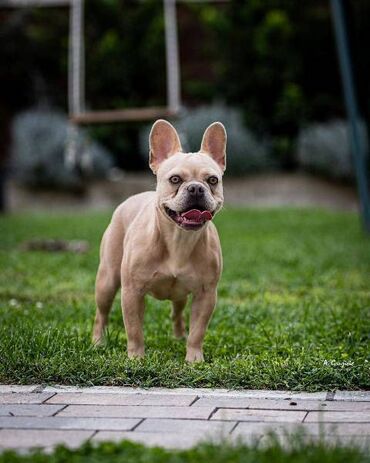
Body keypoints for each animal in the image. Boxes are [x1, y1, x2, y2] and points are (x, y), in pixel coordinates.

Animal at [92, 118, 225, 362]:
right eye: (175, 179)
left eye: (213, 180)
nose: (195, 188)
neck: (179, 239)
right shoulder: (132, 293)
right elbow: (134, 329)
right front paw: (136, 358)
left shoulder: (206, 295)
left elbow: (198, 331)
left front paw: (194, 359)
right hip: (107, 281)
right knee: (101, 313)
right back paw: (98, 341)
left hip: (181, 294)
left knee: (177, 313)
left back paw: (179, 337)